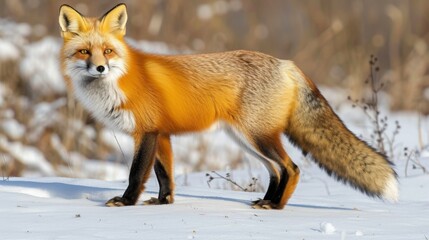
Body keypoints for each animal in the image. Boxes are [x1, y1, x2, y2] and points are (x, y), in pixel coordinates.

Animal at [58, 3, 396, 210]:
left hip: (256, 137)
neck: (120, 81)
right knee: (276, 171)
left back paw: (276, 206)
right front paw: (163, 203)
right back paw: (265, 201)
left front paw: (126, 203)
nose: (100, 68)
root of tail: (286, 63)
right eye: (85, 52)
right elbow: (165, 176)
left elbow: (136, 174)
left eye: (108, 51)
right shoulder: (162, 135)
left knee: (292, 168)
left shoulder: (147, 132)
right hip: (246, 139)